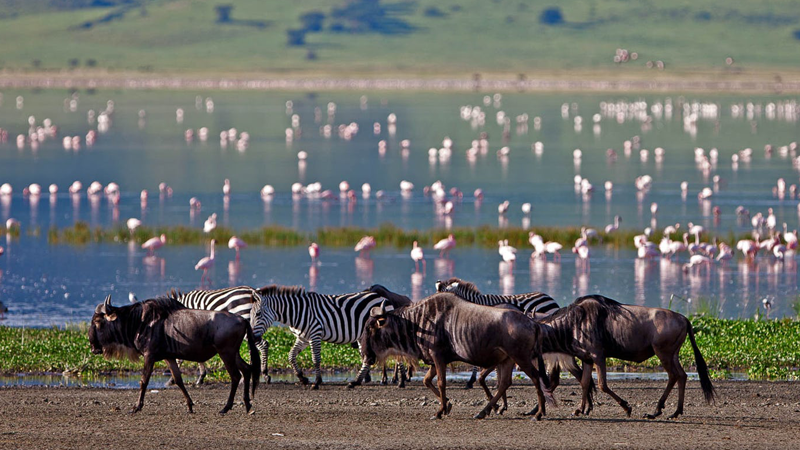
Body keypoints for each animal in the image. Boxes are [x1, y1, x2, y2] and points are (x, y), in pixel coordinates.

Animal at [253, 286, 406, 388]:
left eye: (258, 314)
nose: (253, 338)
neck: (297, 312)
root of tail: (384, 298)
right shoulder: (302, 338)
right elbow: (291, 356)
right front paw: (302, 378)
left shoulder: (315, 334)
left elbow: (316, 359)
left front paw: (316, 382)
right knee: (368, 358)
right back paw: (356, 382)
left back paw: (401, 381)